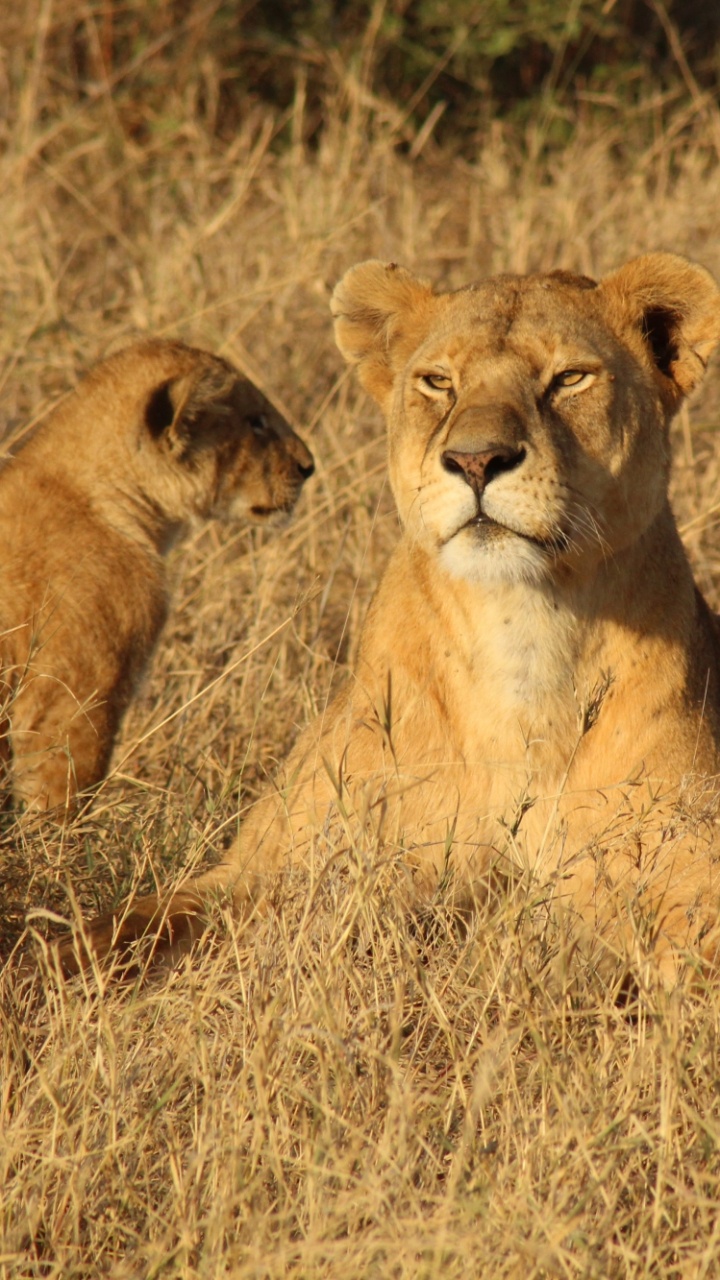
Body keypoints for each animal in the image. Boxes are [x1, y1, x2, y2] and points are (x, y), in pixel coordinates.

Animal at [56, 253, 720, 985]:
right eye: (438, 382)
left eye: (570, 378)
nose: (476, 461)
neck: (523, 629)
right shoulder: (268, 870)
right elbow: (115, 931)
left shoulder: (689, 878)